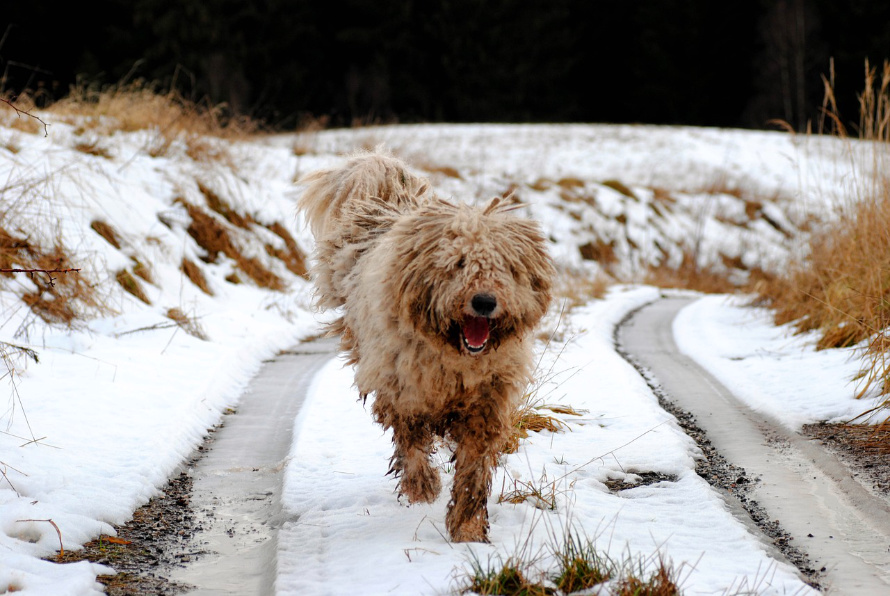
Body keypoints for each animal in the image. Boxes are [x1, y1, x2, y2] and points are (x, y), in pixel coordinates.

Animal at [296, 151, 548, 544]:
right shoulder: (403, 390)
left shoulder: (487, 401)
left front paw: (468, 528)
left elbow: (474, 469)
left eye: (505, 267)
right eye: (458, 264)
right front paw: (422, 486)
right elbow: (411, 442)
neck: (455, 356)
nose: (485, 302)